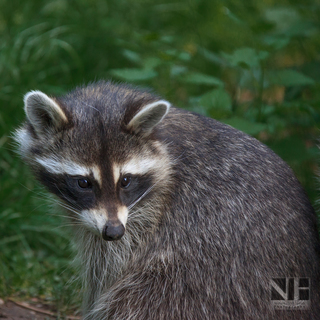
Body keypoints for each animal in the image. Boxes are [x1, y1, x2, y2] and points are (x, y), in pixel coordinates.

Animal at [14, 80, 320, 320]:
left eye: (125, 180)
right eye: (84, 183)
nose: (113, 231)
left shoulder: (146, 223)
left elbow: (106, 277)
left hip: (209, 277)